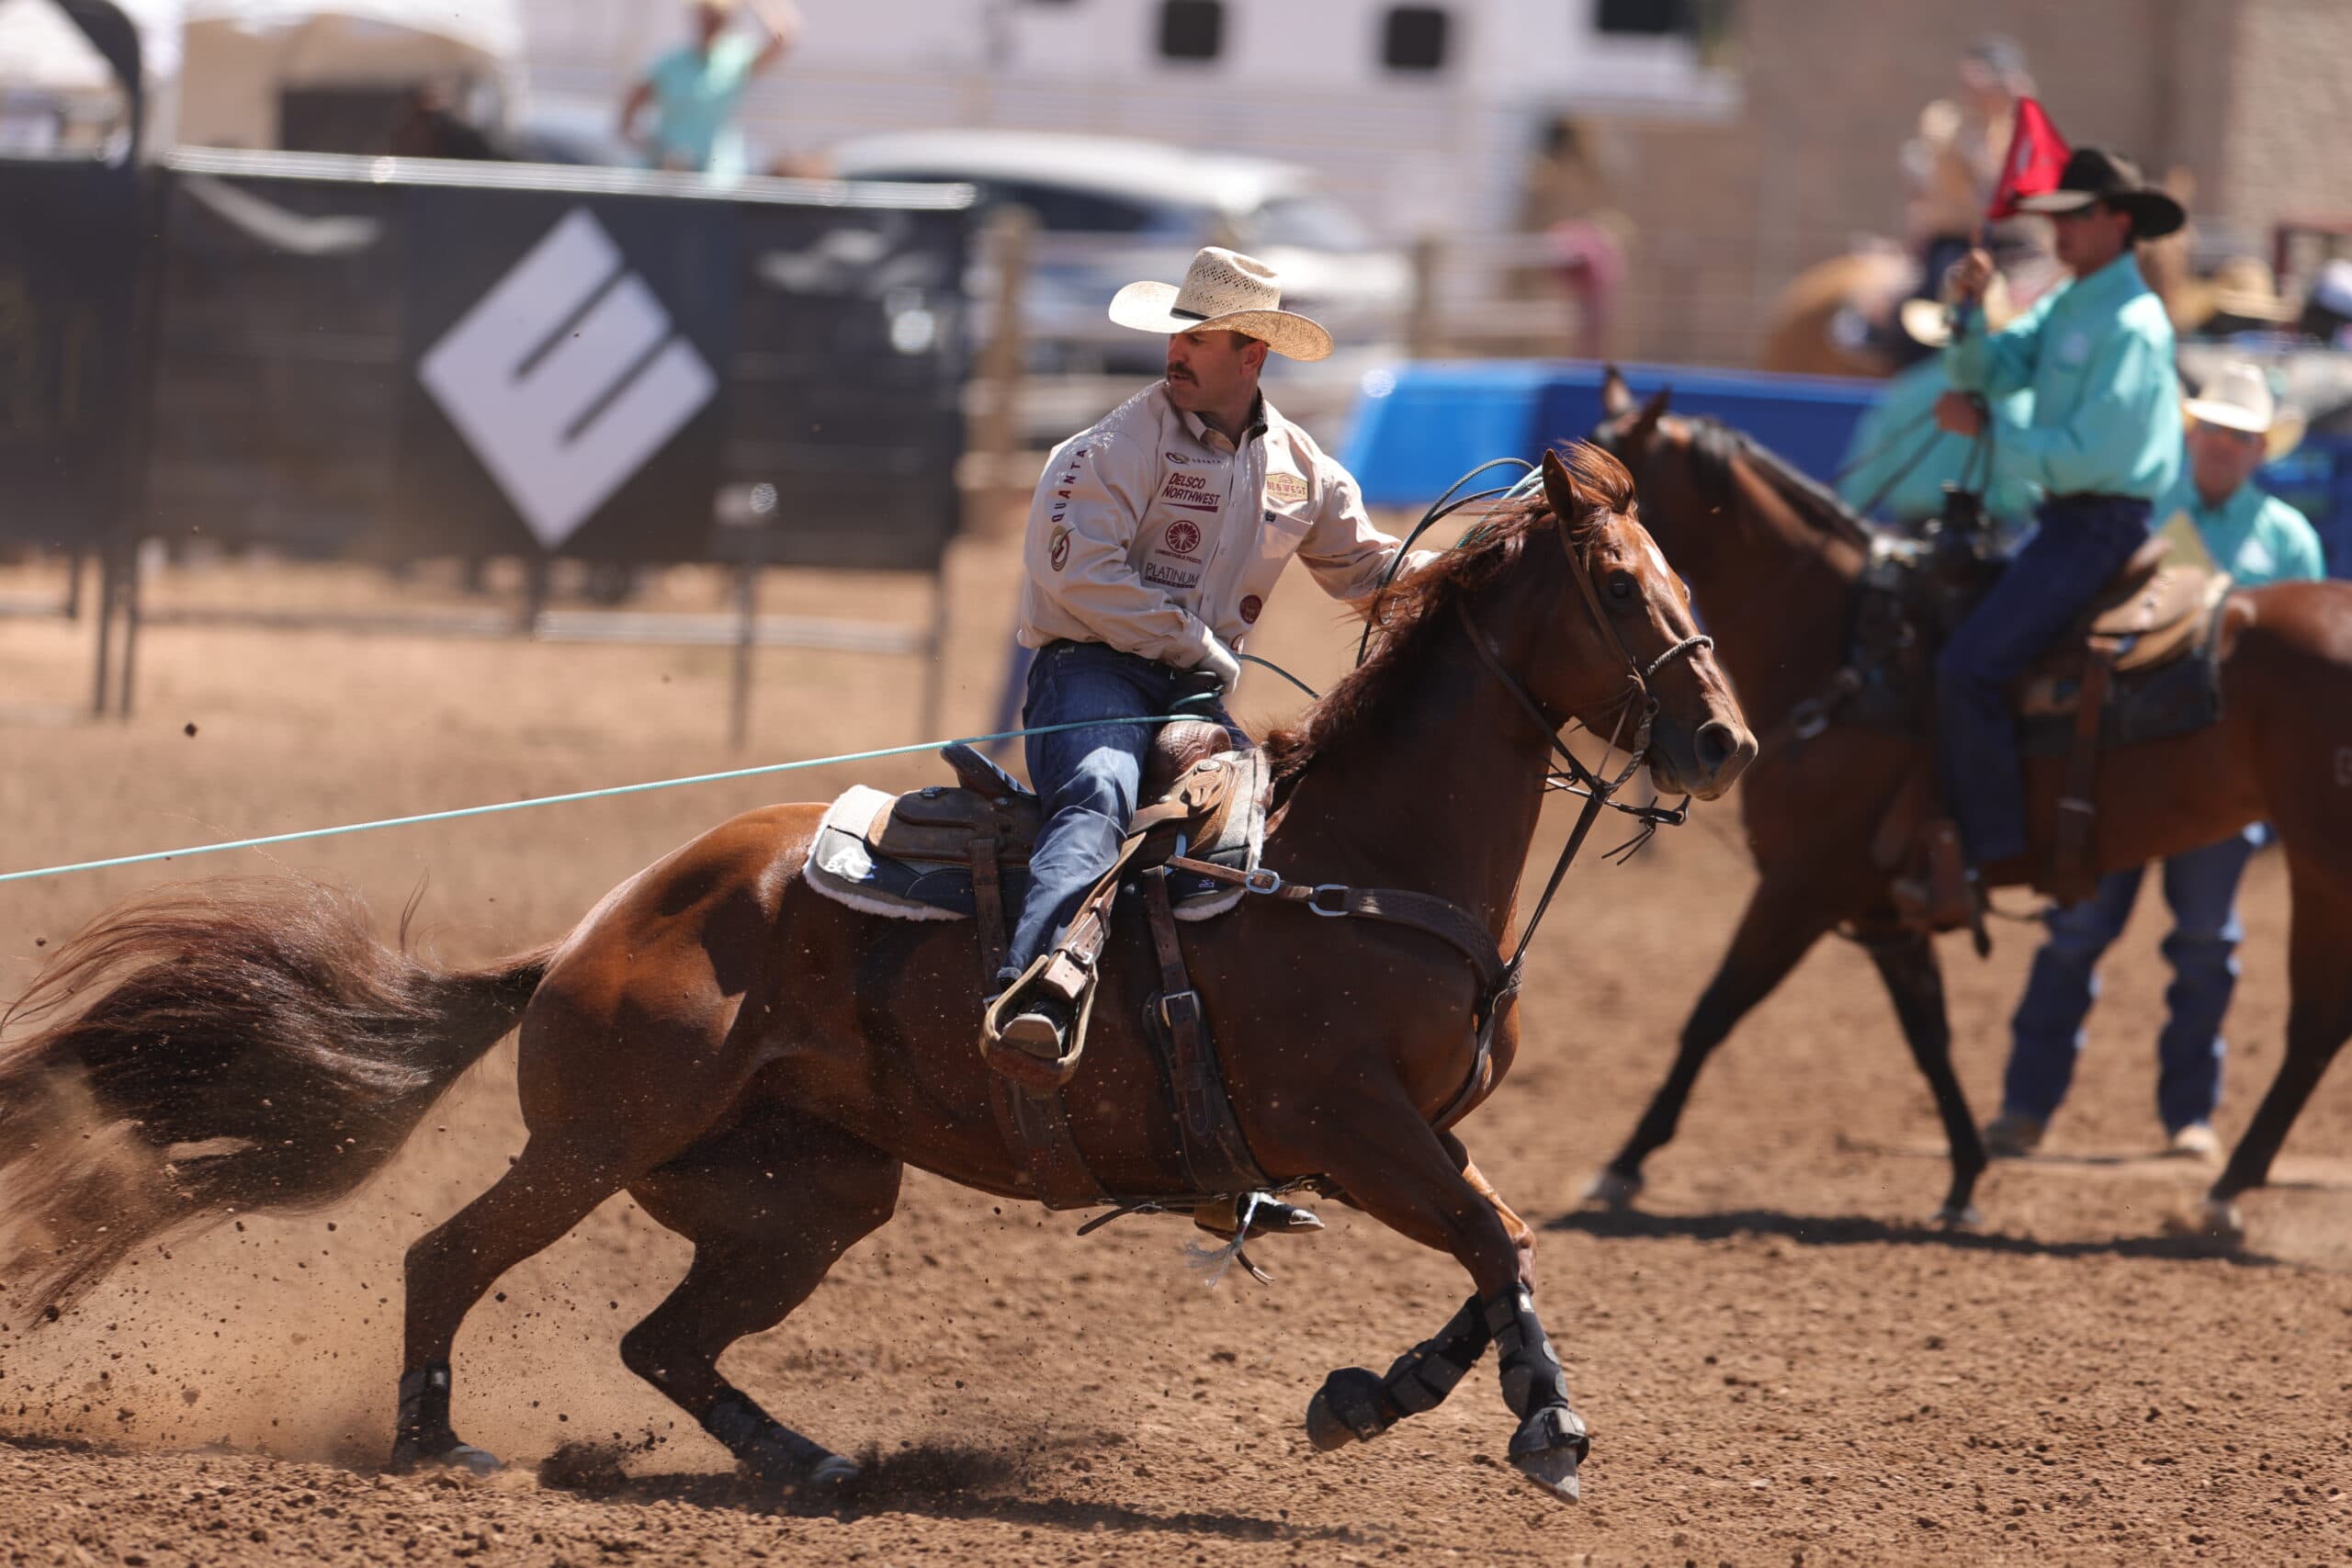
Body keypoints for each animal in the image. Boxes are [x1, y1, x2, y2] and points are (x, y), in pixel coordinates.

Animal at [0, 446, 1753, 1505]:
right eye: (1618, 587)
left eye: (1685, 573)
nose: (1724, 743)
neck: (1349, 860)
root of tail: (589, 930)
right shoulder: (1351, 1120)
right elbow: (1500, 1231)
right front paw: (1546, 1420)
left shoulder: (1395, 1138)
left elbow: (1494, 1246)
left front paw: (1374, 1394)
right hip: (600, 1137)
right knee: (448, 1255)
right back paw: (442, 1446)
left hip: (809, 1189)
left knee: (664, 1344)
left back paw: (807, 1461)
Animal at [1582, 367, 2352, 1239]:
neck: (1848, 650)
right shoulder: (1883, 905)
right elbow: (1930, 1035)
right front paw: (1965, 1179)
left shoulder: (1803, 884)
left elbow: (1714, 1009)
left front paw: (1623, 1163)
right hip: (2319, 869)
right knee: (2317, 1023)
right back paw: (2227, 1189)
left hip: (2325, 861)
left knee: (2318, 1019)